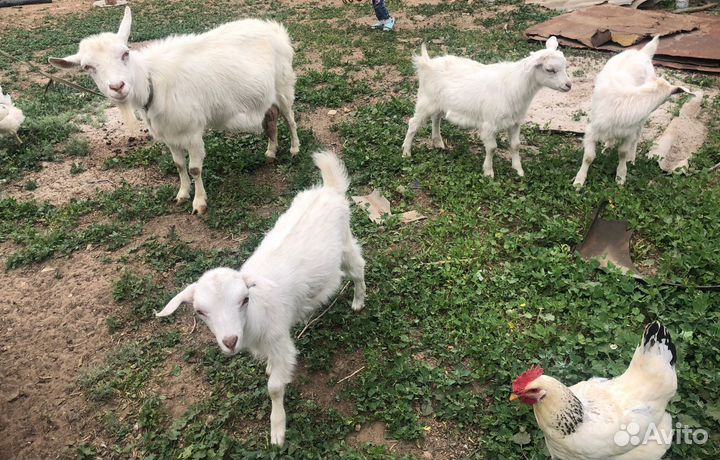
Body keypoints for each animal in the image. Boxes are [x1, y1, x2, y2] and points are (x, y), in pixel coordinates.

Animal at [49, 7, 300, 214]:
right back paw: (270, 152)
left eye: (125, 53)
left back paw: (294, 148)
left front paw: (199, 203)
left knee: (290, 118)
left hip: (283, 86)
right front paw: (181, 194)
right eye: (87, 67)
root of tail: (275, 29)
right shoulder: (169, 133)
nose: (117, 87)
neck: (151, 82)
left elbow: (195, 168)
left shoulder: (192, 131)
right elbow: (179, 165)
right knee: (271, 117)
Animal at [155, 151, 366, 446]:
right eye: (200, 311)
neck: (254, 317)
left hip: (345, 244)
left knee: (358, 267)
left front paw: (277, 430)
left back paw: (359, 301)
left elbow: (275, 387)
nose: (230, 341)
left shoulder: (279, 341)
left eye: (244, 299)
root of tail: (329, 190)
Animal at [402, 37, 571, 178]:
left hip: (439, 103)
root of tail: (427, 63)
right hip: (425, 101)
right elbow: (492, 148)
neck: (514, 86)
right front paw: (488, 172)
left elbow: (515, 145)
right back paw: (406, 152)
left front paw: (518, 170)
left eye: (565, 66)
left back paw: (438, 142)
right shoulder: (490, 124)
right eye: (550, 69)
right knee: (413, 123)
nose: (568, 85)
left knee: (436, 118)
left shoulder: (515, 122)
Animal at [573, 36, 692, 189]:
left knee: (636, 137)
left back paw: (631, 158)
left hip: (640, 122)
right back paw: (607, 148)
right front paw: (579, 181)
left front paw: (620, 177)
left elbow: (623, 152)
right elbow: (588, 157)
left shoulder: (629, 132)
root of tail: (641, 53)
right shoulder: (592, 130)